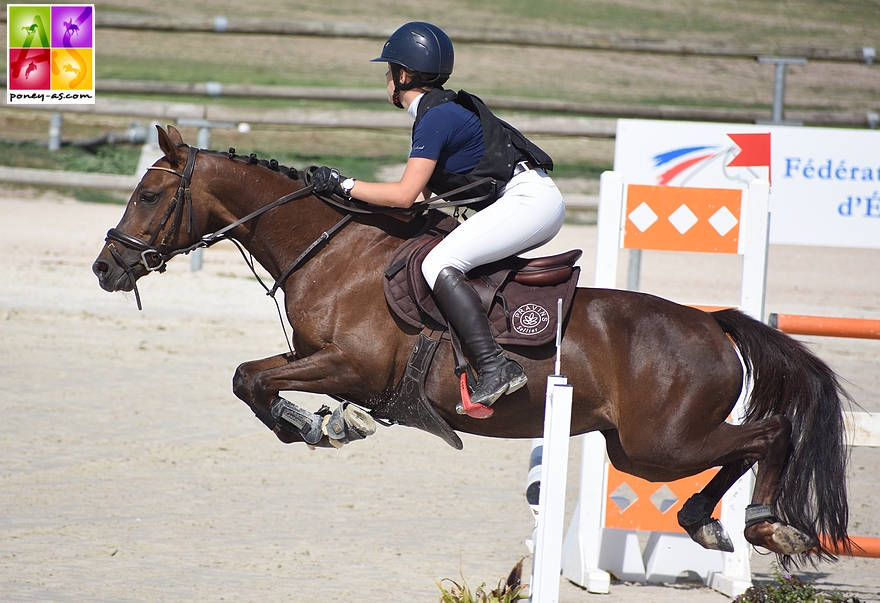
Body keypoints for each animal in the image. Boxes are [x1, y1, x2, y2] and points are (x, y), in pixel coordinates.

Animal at [91, 125, 852, 568]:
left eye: (149, 194)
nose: (106, 268)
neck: (333, 252)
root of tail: (712, 323)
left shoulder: (352, 363)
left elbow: (251, 378)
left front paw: (311, 425)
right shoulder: (324, 362)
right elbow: (249, 376)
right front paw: (322, 423)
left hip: (659, 445)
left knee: (768, 434)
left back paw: (763, 526)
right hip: (640, 447)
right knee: (746, 444)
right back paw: (711, 524)